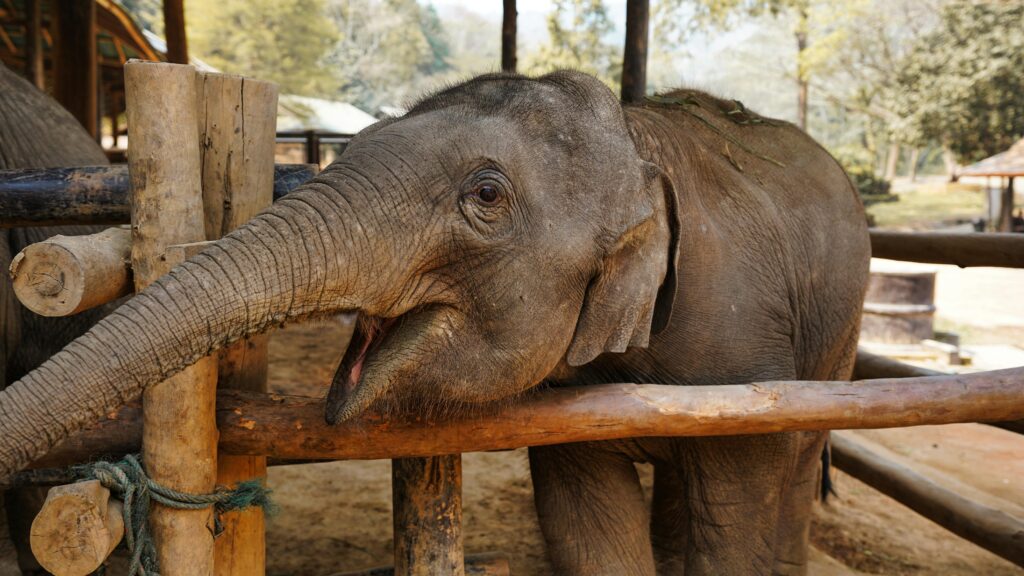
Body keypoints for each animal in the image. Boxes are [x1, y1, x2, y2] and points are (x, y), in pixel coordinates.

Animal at [0, 70, 869, 574]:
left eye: (485, 195)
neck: (635, 137)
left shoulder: (747, 355)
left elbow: (739, 519)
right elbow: (588, 524)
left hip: (836, 342)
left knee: (793, 469)